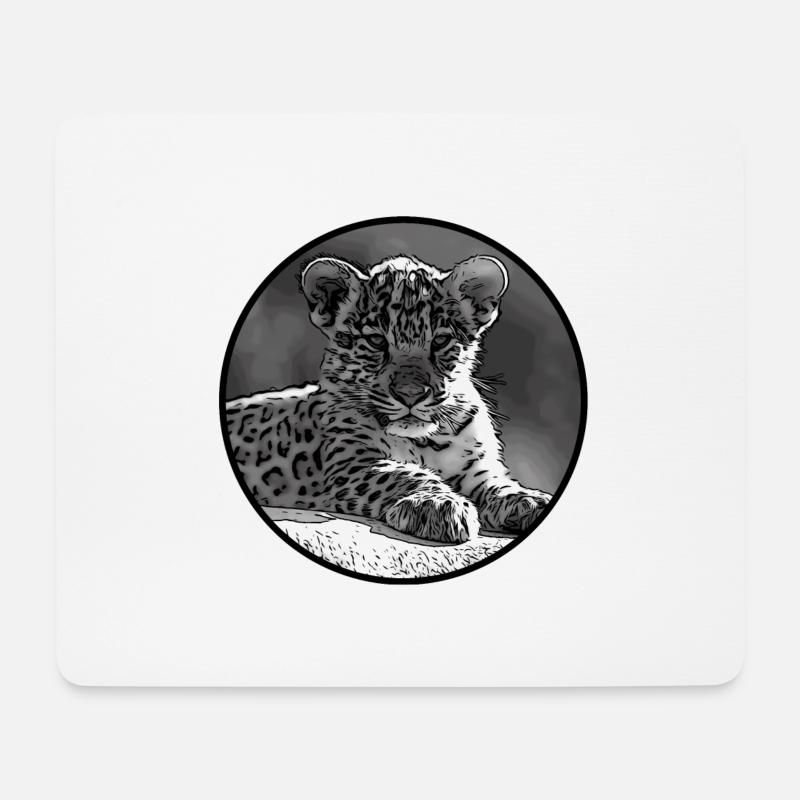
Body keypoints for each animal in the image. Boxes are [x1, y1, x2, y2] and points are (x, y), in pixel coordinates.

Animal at [224, 253, 552, 544]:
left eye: (440, 341)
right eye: (376, 341)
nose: (410, 394)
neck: (426, 440)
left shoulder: (477, 468)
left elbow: (497, 484)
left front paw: (529, 500)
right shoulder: (352, 465)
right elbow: (404, 474)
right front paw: (435, 504)